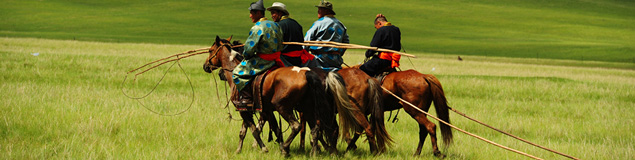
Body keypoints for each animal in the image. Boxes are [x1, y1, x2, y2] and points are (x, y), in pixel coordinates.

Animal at [202, 36, 358, 156]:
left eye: (210, 51)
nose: (205, 66)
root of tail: (308, 73)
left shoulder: (244, 110)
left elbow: (252, 130)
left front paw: (263, 148)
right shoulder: (264, 110)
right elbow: (270, 130)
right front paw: (240, 150)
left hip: (284, 107)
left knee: (298, 126)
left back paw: (288, 149)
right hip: (308, 108)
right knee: (317, 130)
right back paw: (315, 152)